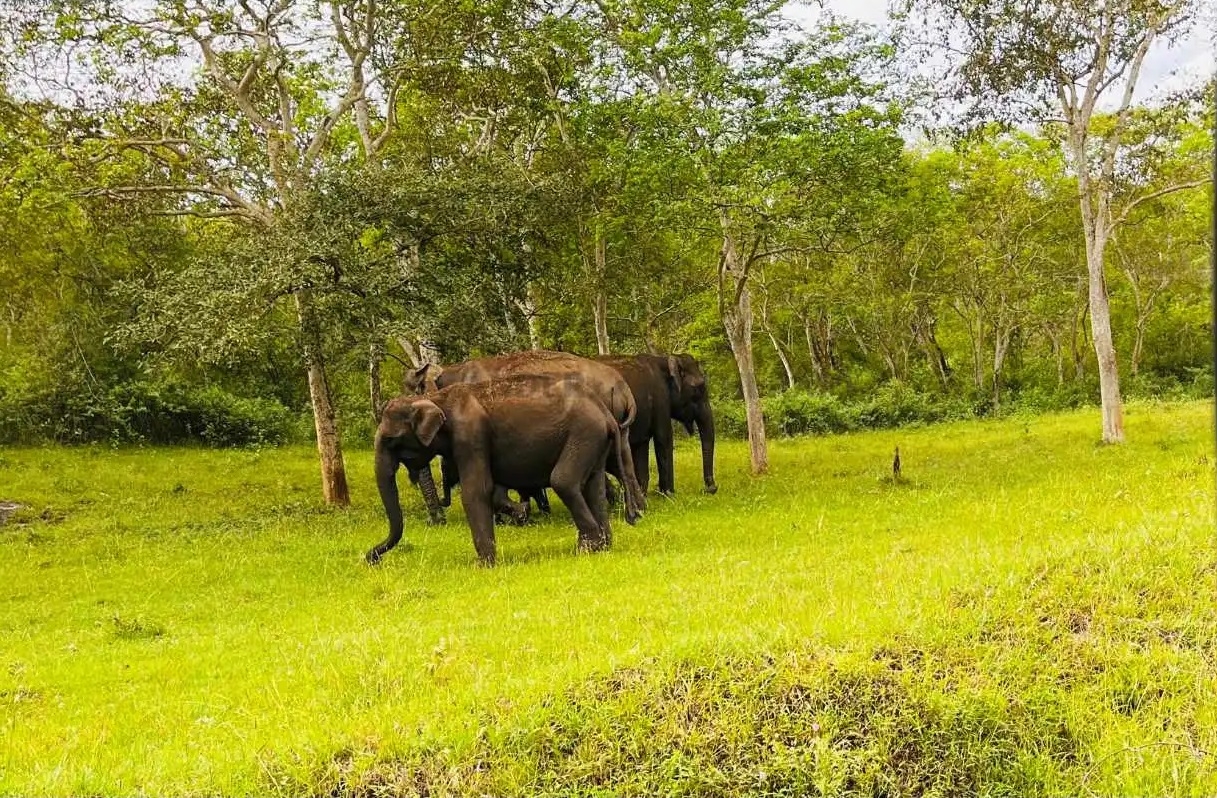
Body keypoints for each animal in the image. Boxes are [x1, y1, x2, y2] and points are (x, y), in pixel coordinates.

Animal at [365, 374, 637, 566]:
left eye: (390, 440)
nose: (371, 558)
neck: (438, 398)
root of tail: (606, 413)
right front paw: (520, 513)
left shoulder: (471, 435)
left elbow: (476, 491)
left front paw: (483, 564)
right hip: (594, 440)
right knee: (593, 487)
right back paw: (603, 545)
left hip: (584, 433)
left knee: (564, 481)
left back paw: (587, 548)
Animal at [404, 350, 647, 518]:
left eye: (416, 392)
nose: (437, 519)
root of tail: (623, 388)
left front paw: (519, 514)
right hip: (618, 425)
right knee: (624, 459)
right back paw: (637, 508)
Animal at [596, 352, 715, 496]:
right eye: (699, 388)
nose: (710, 489)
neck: (663, 359)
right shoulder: (660, 398)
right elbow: (664, 438)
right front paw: (669, 494)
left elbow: (641, 445)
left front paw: (645, 494)